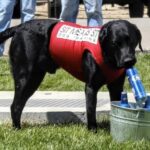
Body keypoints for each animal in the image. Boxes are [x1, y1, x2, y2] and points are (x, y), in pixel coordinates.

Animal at [0, 18, 143, 131]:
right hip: (26, 77)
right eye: (115, 43)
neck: (107, 57)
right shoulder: (91, 87)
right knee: (15, 105)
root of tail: (19, 27)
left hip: (35, 77)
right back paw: (17, 129)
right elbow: (91, 109)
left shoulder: (116, 87)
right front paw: (93, 130)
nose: (128, 61)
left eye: (131, 40)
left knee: (19, 104)